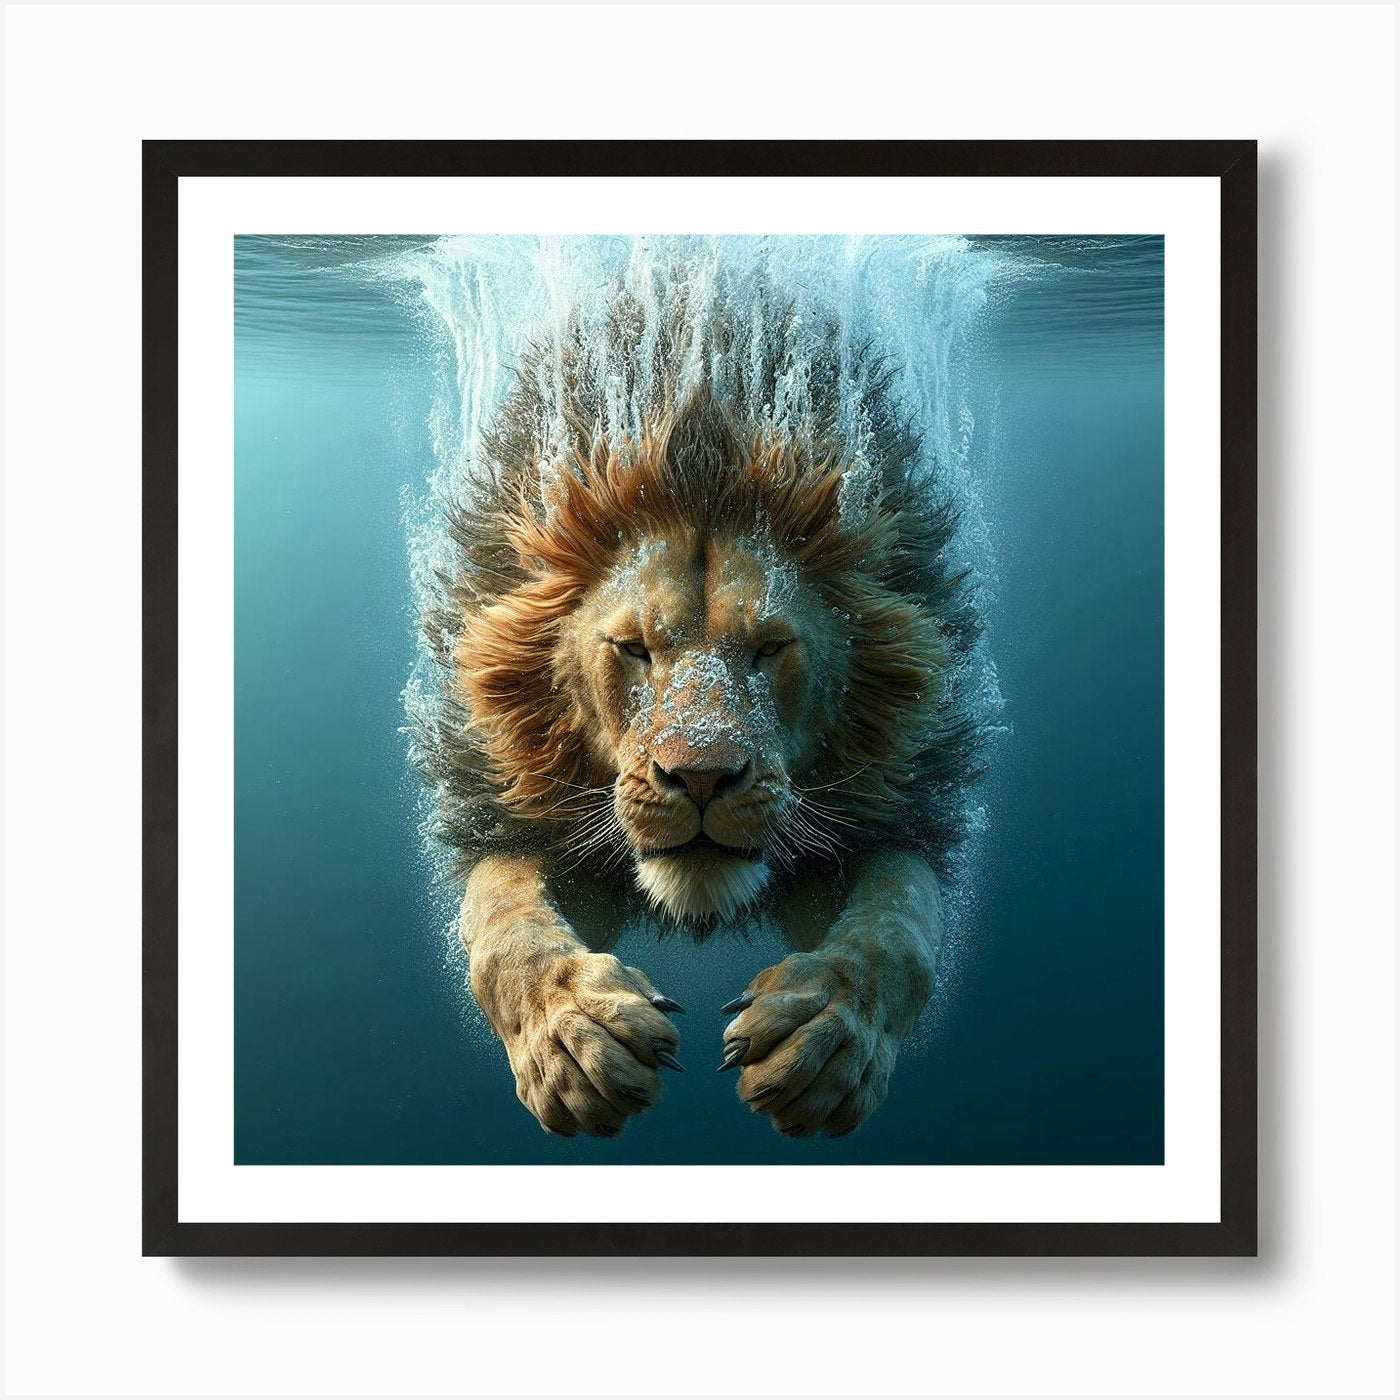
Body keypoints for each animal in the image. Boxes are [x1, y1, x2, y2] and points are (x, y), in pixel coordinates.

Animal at [412, 280, 985, 1139]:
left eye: (769, 648)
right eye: (634, 648)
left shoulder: (889, 806)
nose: (703, 778)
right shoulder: (518, 814)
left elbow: (898, 931)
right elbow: (504, 928)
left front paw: (827, 1036)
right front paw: (573, 1037)